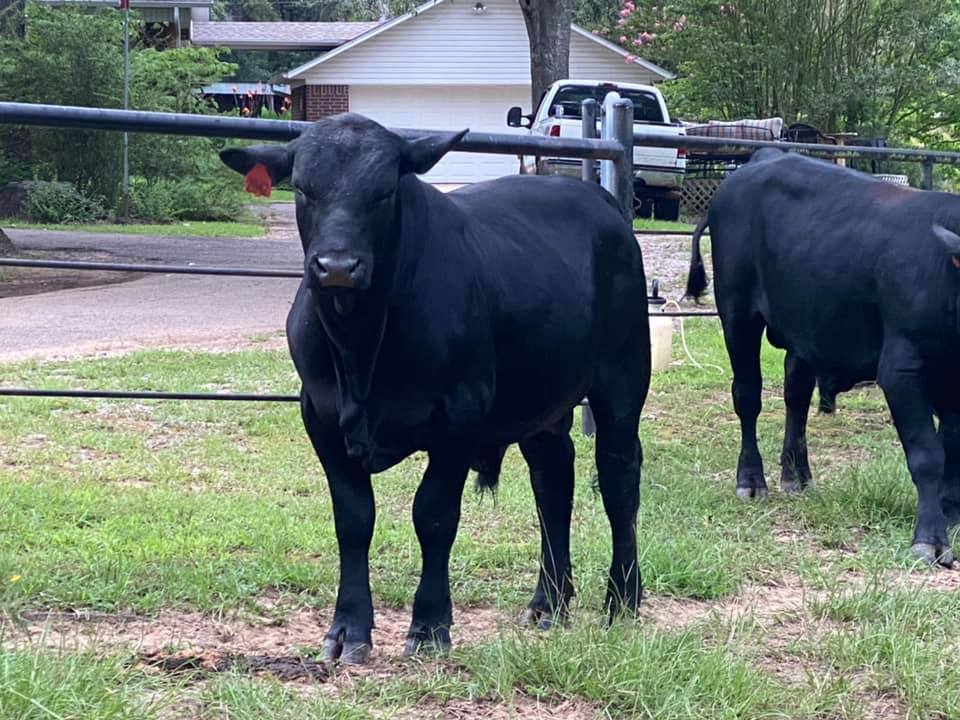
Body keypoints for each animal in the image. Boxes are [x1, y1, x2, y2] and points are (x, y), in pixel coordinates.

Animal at [219, 113, 651, 663]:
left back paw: (623, 598)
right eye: (302, 188)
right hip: (541, 399)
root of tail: (596, 200)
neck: (360, 350)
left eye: (384, 191)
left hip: (622, 379)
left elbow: (434, 515)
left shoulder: (459, 418)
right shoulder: (319, 415)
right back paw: (548, 603)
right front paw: (348, 629)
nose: (336, 266)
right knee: (553, 480)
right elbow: (353, 520)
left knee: (619, 478)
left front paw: (428, 626)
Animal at [686, 147, 960, 567]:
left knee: (796, 396)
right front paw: (930, 538)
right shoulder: (902, 370)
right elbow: (928, 455)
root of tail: (763, 157)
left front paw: (950, 513)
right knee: (747, 395)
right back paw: (751, 480)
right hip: (737, 313)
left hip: (804, 328)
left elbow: (954, 452)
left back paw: (796, 475)